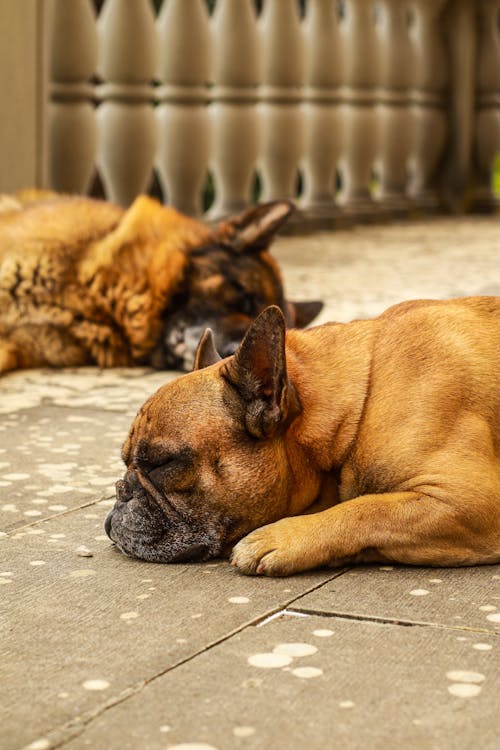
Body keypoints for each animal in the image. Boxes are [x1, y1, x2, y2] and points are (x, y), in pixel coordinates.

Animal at [106, 296, 500, 572]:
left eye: (164, 463)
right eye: (125, 463)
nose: (122, 490)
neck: (359, 406)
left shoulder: (471, 500)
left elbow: (368, 509)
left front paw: (281, 538)